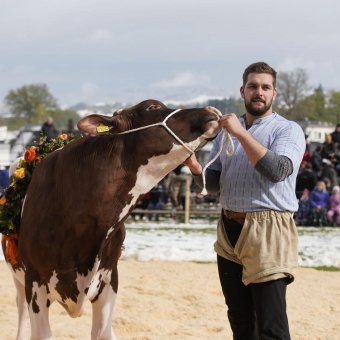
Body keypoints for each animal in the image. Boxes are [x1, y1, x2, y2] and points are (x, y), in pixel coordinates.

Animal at [3, 99, 222, 340]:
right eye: (152, 107)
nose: (211, 110)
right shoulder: (34, 283)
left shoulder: (109, 279)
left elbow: (103, 332)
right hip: (18, 279)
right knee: (21, 309)